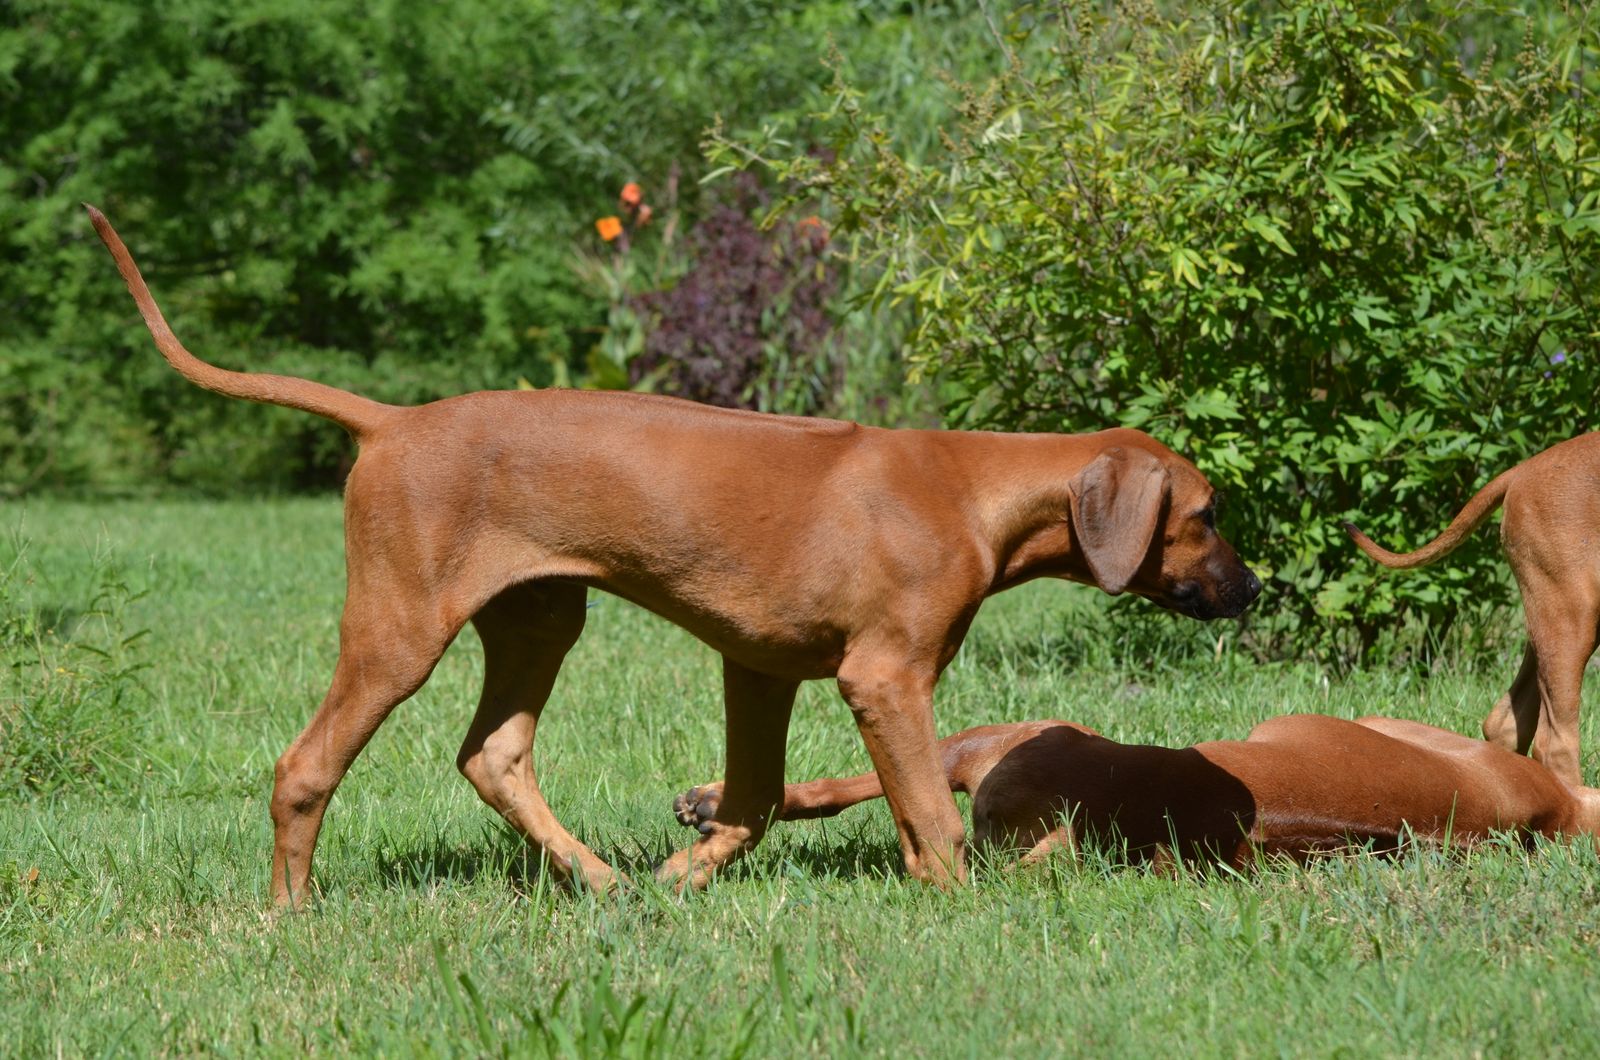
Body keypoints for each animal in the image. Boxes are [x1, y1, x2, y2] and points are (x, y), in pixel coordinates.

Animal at [84, 204, 1260, 903]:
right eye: (1206, 515)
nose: (1252, 589)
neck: (973, 487)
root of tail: (392, 421)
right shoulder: (885, 678)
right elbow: (930, 809)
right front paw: (963, 909)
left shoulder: (761, 664)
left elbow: (754, 799)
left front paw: (684, 869)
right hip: (400, 625)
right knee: (307, 765)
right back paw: (292, 909)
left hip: (541, 615)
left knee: (493, 755)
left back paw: (603, 883)